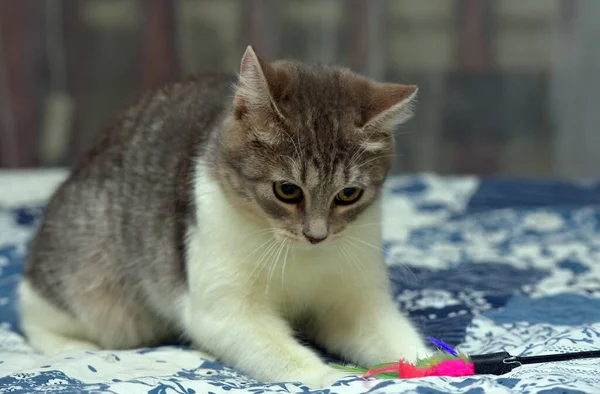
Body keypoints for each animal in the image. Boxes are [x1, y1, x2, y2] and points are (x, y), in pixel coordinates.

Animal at [18, 47, 428, 388]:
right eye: (287, 190)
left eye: (348, 194)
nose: (317, 235)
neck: (298, 255)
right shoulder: (224, 311)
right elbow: (279, 352)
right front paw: (331, 378)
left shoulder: (355, 299)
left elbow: (392, 337)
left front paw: (427, 367)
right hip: (92, 280)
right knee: (38, 313)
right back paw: (69, 346)